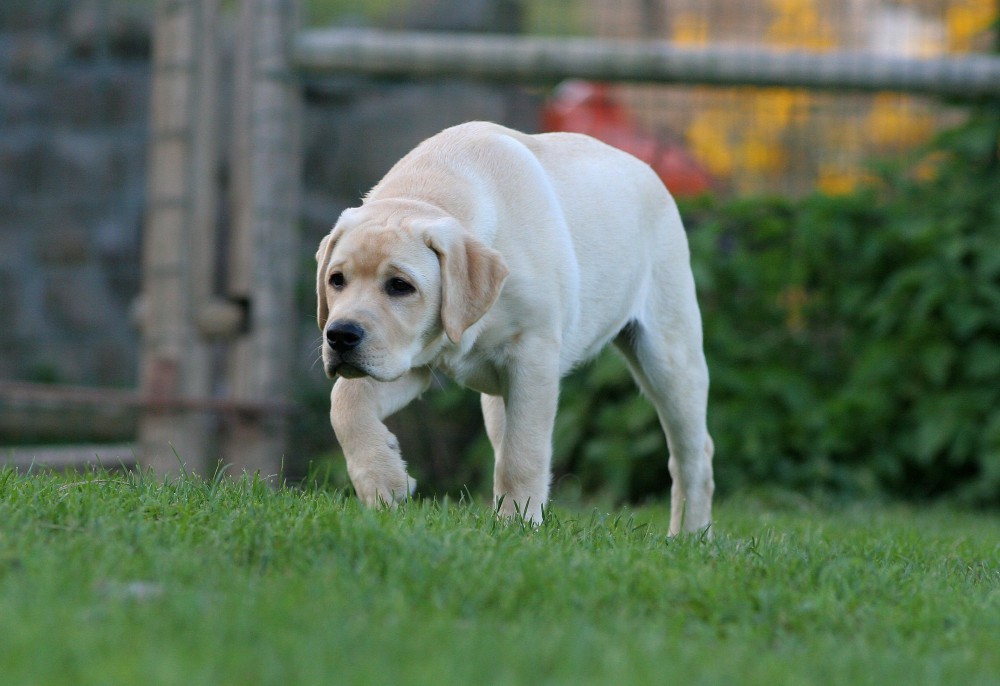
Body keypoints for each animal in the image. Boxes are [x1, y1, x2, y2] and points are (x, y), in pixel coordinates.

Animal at [312, 121, 712, 536]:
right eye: (336, 280)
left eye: (400, 286)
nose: (340, 336)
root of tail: (648, 170)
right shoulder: (412, 359)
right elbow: (345, 404)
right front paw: (383, 482)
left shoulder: (532, 355)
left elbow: (524, 453)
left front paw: (517, 525)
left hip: (670, 357)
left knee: (693, 455)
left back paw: (689, 536)